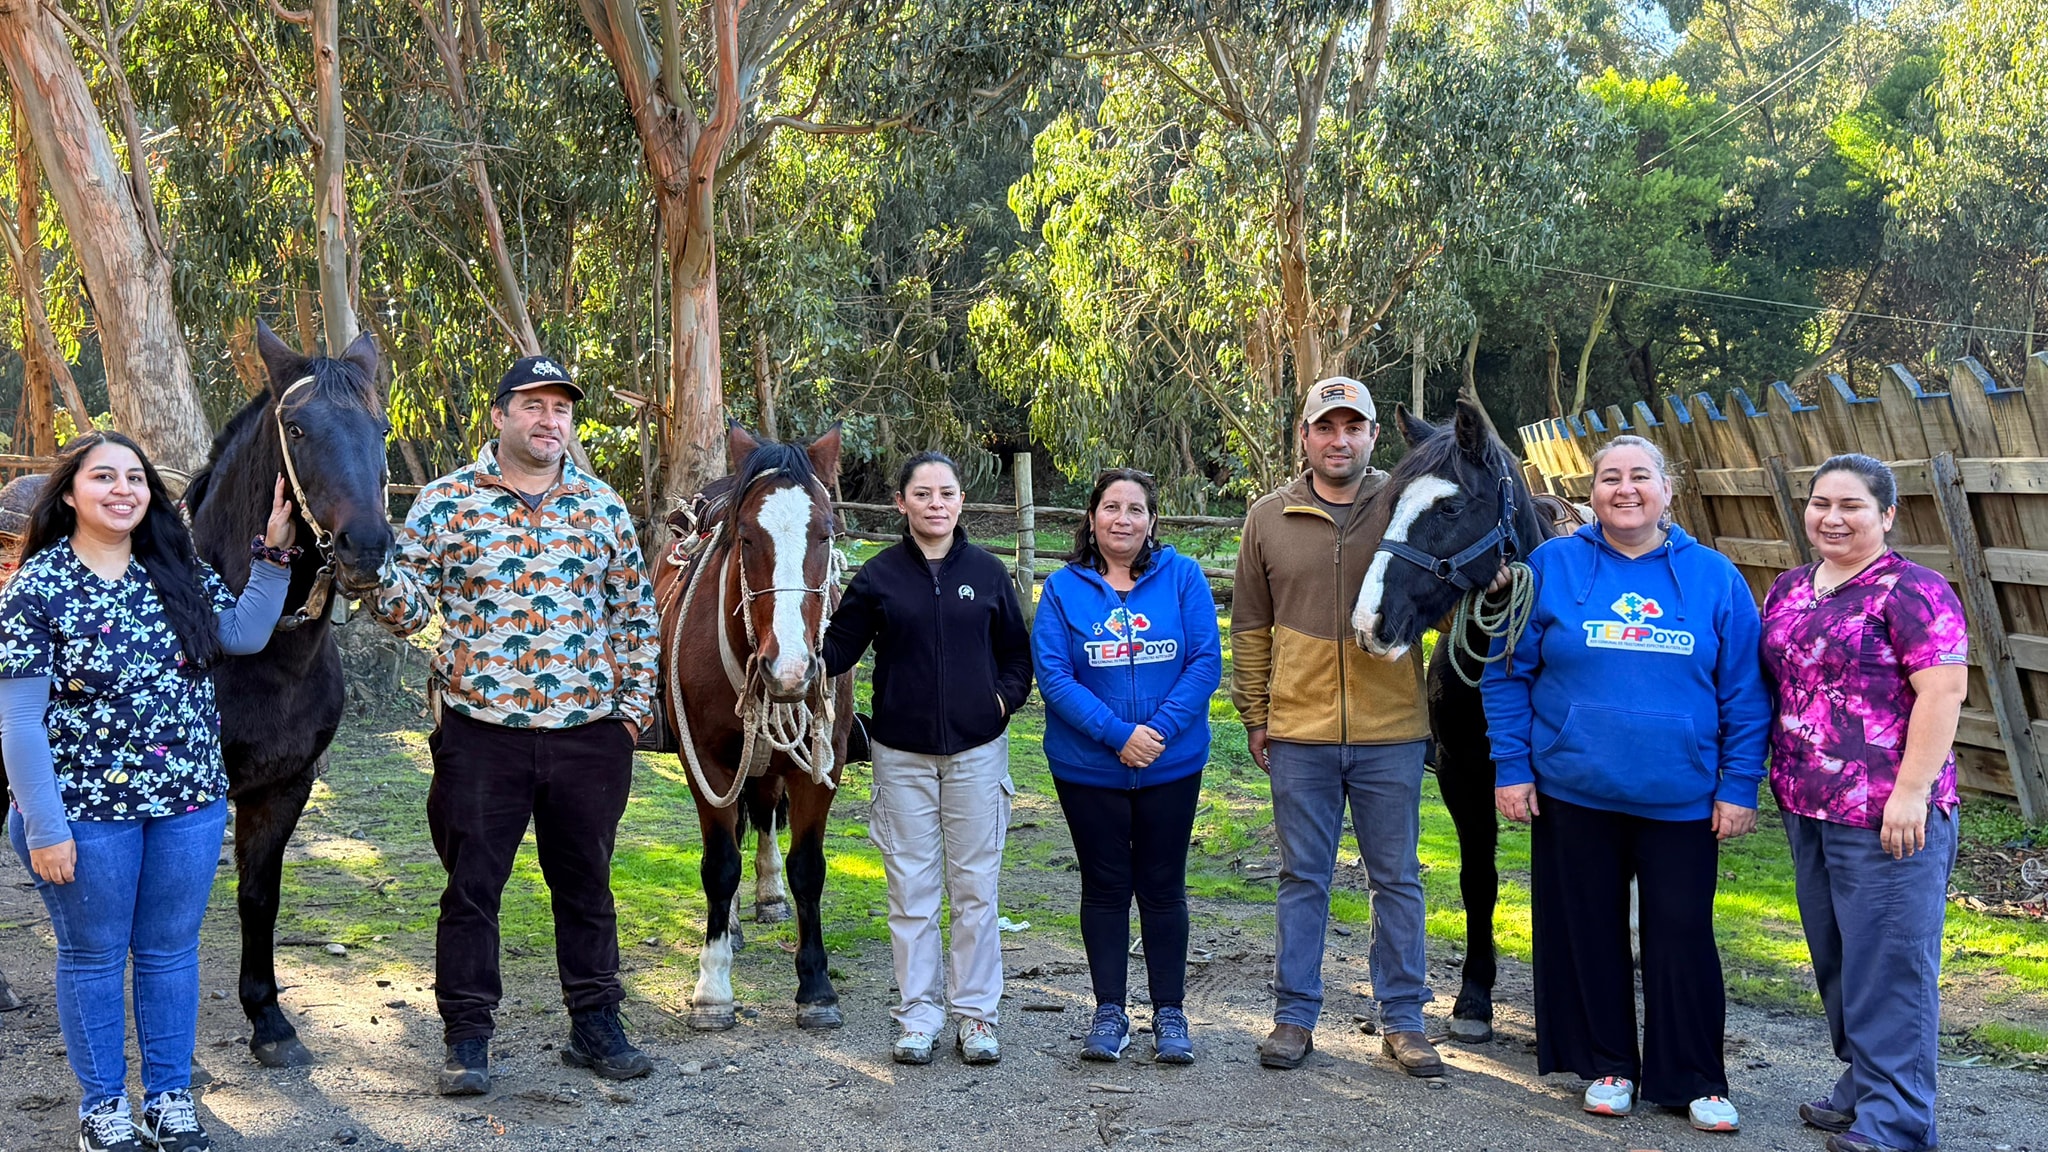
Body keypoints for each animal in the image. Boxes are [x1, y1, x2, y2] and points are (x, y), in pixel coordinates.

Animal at [184, 321, 395, 1067]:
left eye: (382, 428)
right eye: (298, 429)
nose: (366, 546)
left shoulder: (284, 786)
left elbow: (258, 897)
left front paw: (269, 1022)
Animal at [654, 423, 853, 1032]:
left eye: (825, 534)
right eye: (744, 538)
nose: (788, 669)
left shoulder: (822, 761)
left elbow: (808, 868)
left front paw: (816, 987)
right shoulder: (707, 764)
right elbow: (720, 865)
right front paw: (712, 990)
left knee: (762, 814)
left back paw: (767, 896)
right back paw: (738, 921)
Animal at [1348, 398, 1558, 1045]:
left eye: (1451, 507)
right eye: (1391, 502)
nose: (1369, 621)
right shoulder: (1462, 776)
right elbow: (1478, 882)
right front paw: (1473, 999)